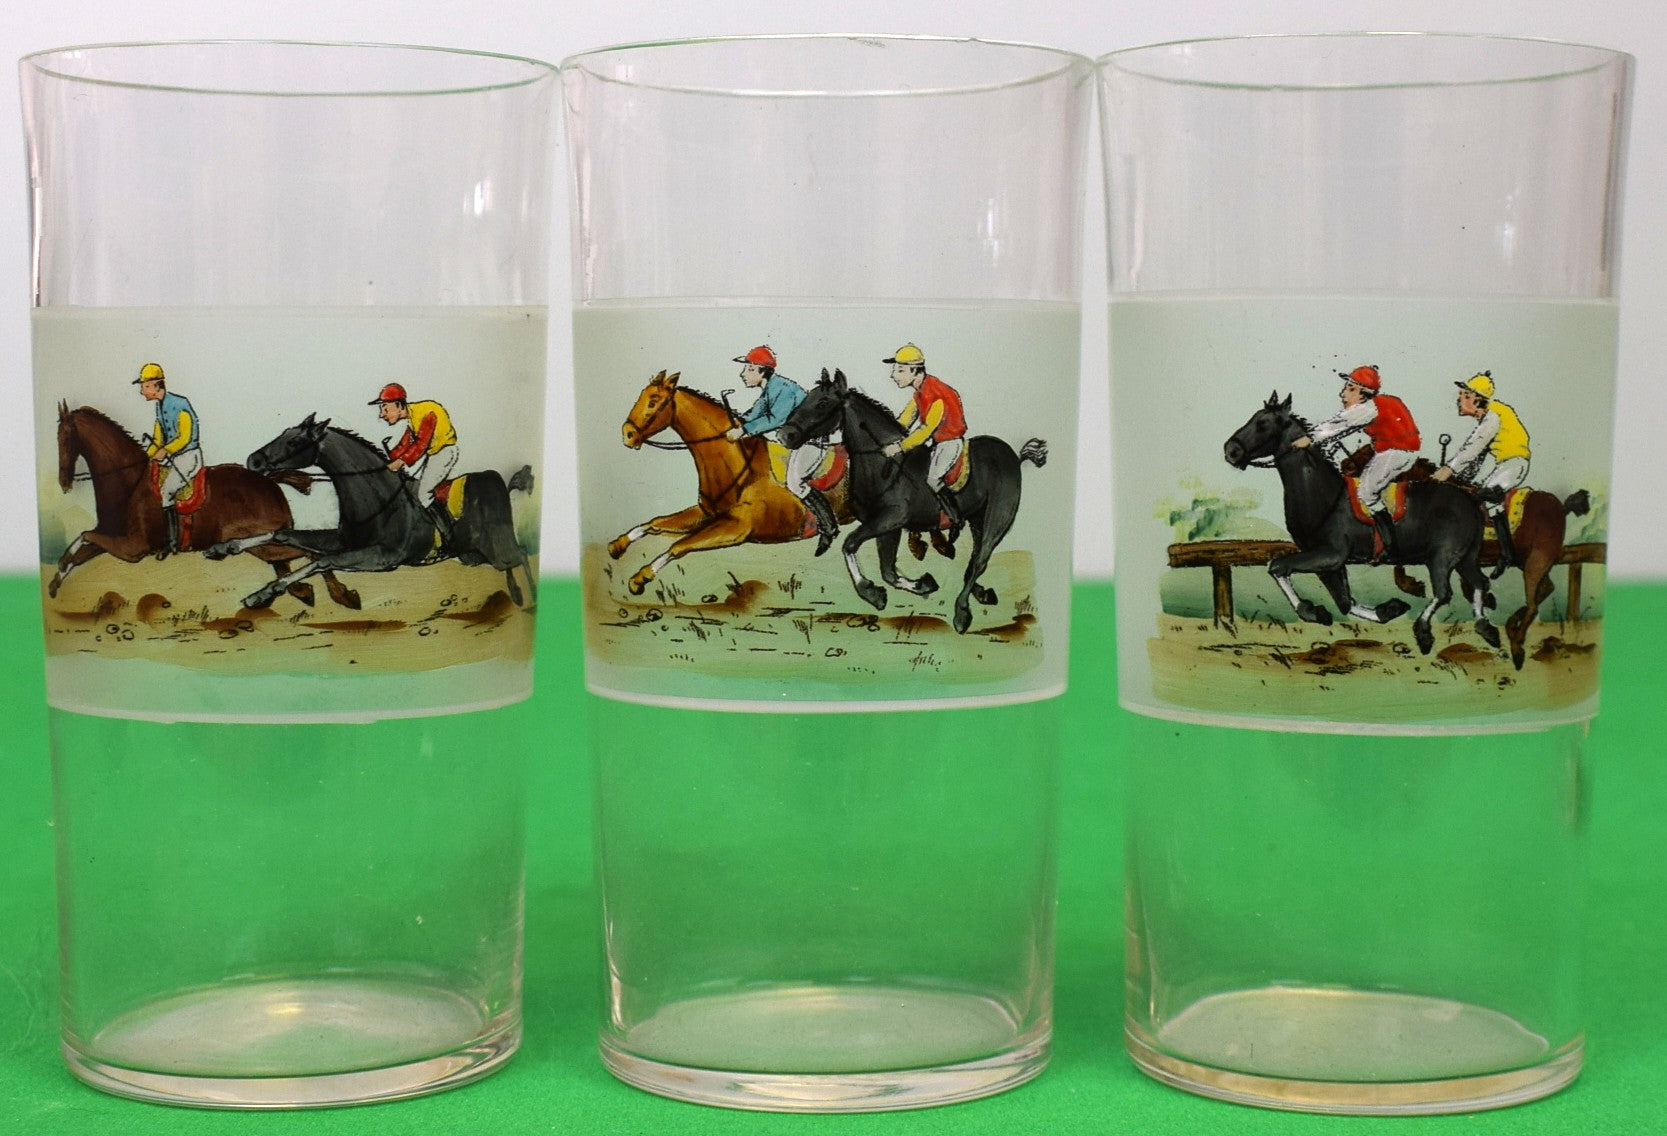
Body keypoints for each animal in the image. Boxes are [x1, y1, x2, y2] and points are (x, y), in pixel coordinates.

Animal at [50, 403, 356, 608]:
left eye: (64, 437)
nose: (63, 482)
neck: (128, 481)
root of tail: (266, 479)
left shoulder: (131, 548)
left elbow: (82, 537)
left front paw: (59, 571)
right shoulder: (112, 538)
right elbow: (81, 550)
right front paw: (54, 584)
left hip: (261, 541)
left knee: (310, 554)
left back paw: (342, 595)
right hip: (261, 543)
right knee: (287, 563)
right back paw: (299, 592)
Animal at [203, 414, 536, 610]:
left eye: (295, 440)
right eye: (284, 431)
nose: (254, 460)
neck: (376, 500)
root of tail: (498, 480)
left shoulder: (381, 557)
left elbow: (322, 561)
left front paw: (263, 594)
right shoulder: (342, 540)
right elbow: (283, 534)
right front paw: (222, 547)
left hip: (496, 548)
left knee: (520, 554)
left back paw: (529, 598)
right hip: (471, 555)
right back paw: (518, 595)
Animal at [608, 370, 844, 595]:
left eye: (653, 401)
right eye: (642, 396)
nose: (627, 435)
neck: (742, 469)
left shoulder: (737, 528)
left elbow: (679, 546)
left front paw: (641, 577)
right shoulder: (706, 513)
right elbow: (655, 523)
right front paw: (618, 544)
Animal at [777, 369, 1047, 635]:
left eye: (822, 402)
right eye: (806, 398)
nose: (783, 434)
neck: (883, 465)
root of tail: (1013, 455)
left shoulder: (890, 519)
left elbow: (850, 544)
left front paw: (870, 592)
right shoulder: (888, 527)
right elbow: (888, 572)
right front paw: (923, 585)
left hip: (997, 519)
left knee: (980, 561)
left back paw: (962, 613)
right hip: (977, 520)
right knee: (975, 559)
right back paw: (981, 593)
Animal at [1223, 392, 1500, 656]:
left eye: (1262, 424)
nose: (1230, 451)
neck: (1322, 494)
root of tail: (1471, 499)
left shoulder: (1330, 554)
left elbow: (1278, 566)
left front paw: (1310, 610)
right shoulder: (1329, 563)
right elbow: (1345, 602)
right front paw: (1387, 609)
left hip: (1441, 556)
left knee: (1444, 592)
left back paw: (1423, 632)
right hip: (1465, 557)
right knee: (1480, 583)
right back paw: (1486, 628)